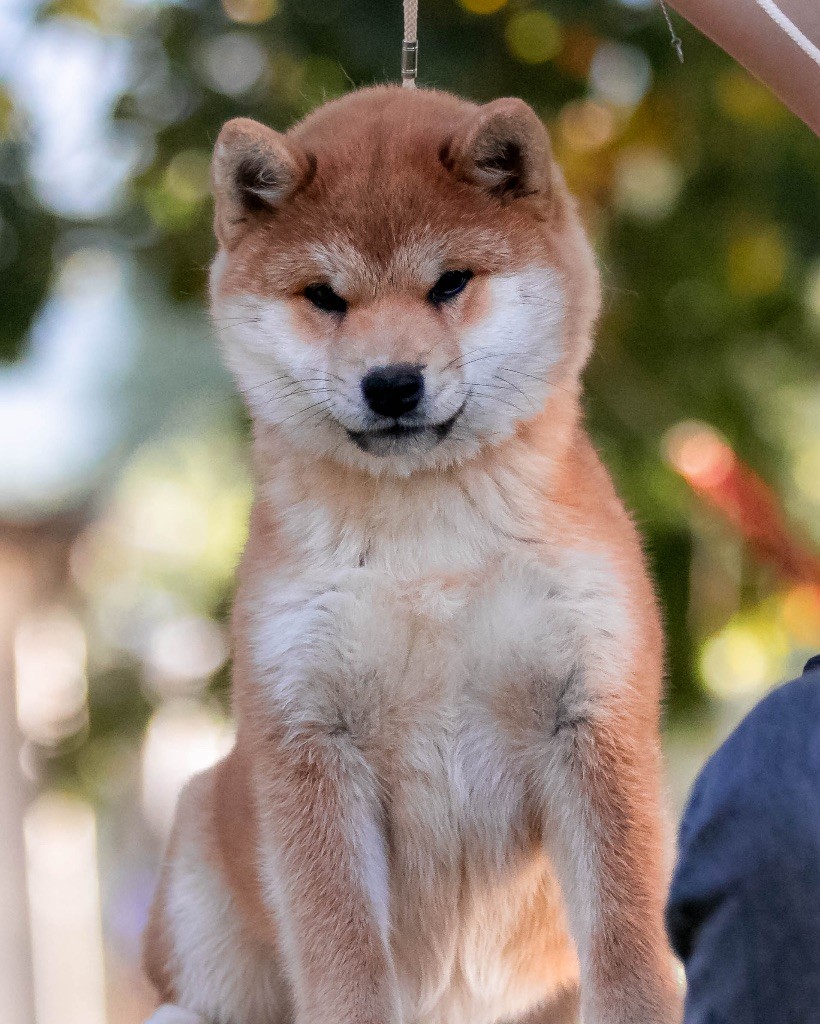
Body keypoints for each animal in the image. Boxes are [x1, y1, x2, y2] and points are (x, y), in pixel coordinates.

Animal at [144, 88, 679, 1024]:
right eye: (325, 296)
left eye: (450, 282)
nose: (391, 383)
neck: (430, 547)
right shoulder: (311, 737)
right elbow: (343, 957)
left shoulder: (591, 715)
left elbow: (627, 951)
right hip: (198, 843)